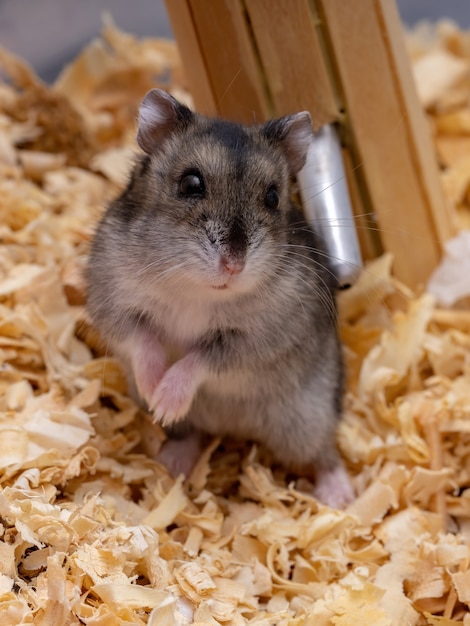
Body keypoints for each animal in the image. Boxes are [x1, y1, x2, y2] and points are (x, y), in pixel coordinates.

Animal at [87, 88, 352, 508]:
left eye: (273, 197)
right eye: (191, 183)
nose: (233, 264)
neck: (196, 290)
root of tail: (234, 429)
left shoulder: (253, 341)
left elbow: (200, 359)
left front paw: (165, 398)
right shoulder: (114, 303)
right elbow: (142, 340)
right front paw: (153, 390)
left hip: (308, 418)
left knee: (324, 453)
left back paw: (339, 498)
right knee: (191, 432)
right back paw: (172, 456)